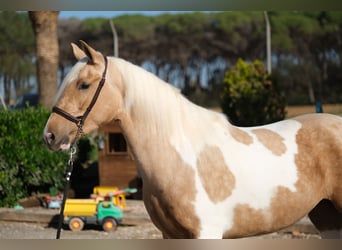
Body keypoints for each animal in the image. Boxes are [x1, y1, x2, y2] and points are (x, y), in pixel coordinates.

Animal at [42, 40, 342, 238]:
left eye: (84, 85)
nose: (50, 135)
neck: (180, 158)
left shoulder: (206, 234)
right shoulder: (171, 235)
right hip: (327, 220)